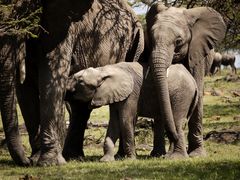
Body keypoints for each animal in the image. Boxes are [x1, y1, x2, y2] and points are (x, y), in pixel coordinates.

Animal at [19, 0, 143, 166]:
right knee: (80, 108)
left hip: (135, 44)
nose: (25, 163)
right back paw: (74, 157)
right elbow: (25, 90)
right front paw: (36, 160)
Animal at [66, 62, 198, 162]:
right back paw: (168, 156)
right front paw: (105, 161)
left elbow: (125, 121)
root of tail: (194, 81)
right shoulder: (116, 96)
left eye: (80, 81)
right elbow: (114, 122)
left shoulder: (132, 95)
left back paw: (176, 158)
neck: (103, 70)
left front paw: (130, 159)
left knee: (177, 122)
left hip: (182, 96)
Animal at [145, 1, 226, 157]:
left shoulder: (197, 53)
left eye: (178, 41)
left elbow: (198, 93)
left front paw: (197, 155)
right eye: (151, 37)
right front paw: (159, 155)